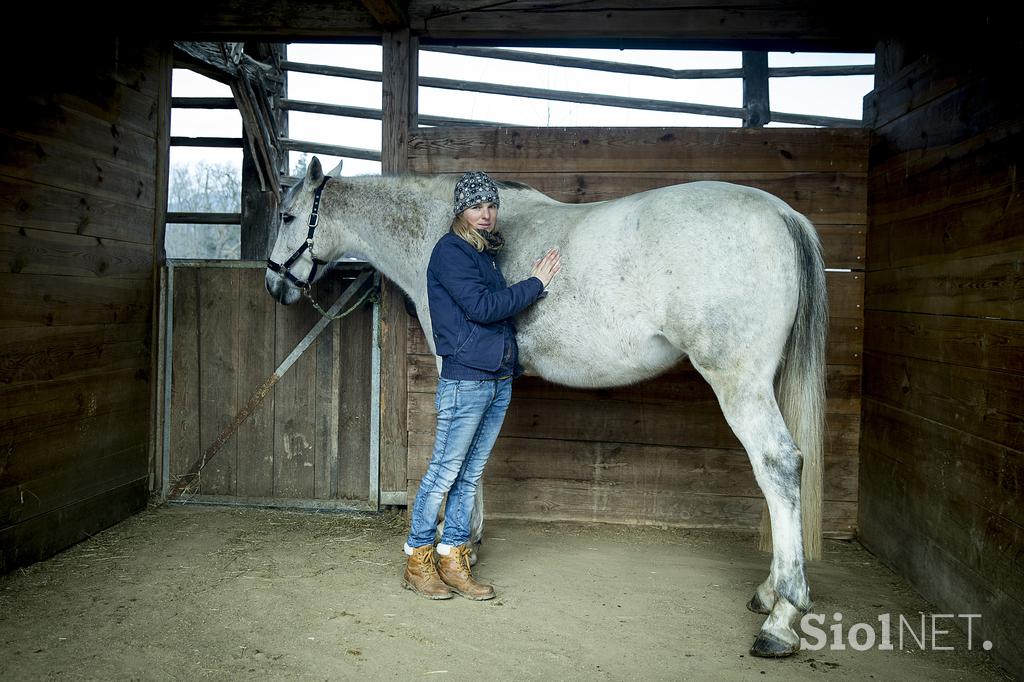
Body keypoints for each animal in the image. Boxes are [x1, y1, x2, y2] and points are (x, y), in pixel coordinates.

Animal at [264, 156, 823, 655]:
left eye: (287, 216)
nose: (273, 284)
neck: (442, 230)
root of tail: (783, 214)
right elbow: (479, 458)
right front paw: (469, 545)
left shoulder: (458, 373)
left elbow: (463, 458)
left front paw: (460, 548)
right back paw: (767, 593)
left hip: (739, 380)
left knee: (778, 465)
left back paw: (781, 619)